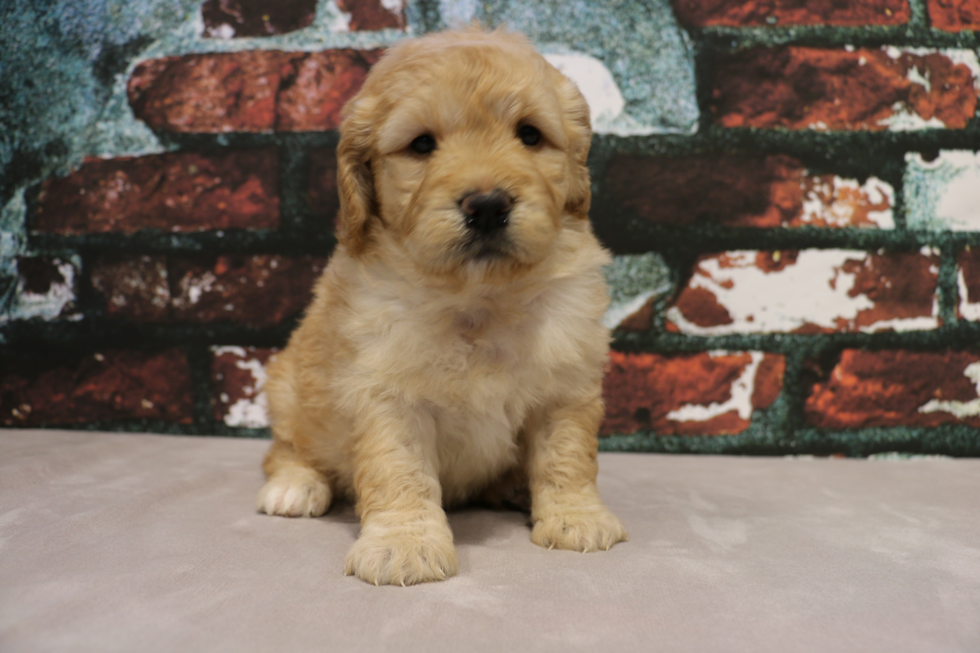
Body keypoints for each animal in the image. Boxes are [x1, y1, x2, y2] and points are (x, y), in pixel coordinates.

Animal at [256, 26, 628, 584]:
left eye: (530, 135)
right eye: (422, 144)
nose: (488, 206)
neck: (476, 296)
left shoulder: (566, 385)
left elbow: (567, 456)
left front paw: (577, 517)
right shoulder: (385, 394)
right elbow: (399, 469)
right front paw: (403, 544)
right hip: (288, 387)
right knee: (286, 446)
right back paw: (294, 485)